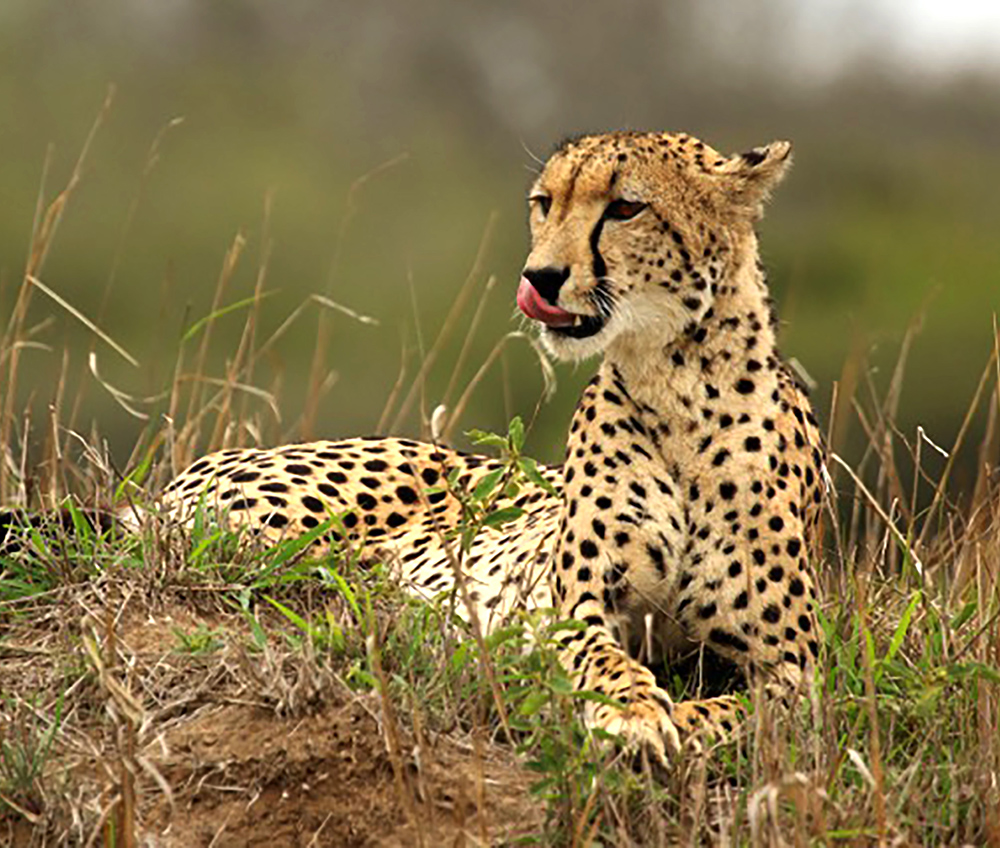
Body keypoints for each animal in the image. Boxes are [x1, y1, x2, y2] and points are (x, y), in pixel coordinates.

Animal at [158, 129, 828, 764]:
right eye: (545, 204)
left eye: (625, 208)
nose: (541, 278)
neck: (681, 386)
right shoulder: (574, 607)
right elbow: (606, 662)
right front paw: (633, 714)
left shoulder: (796, 671)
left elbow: (739, 716)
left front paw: (673, 722)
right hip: (276, 529)